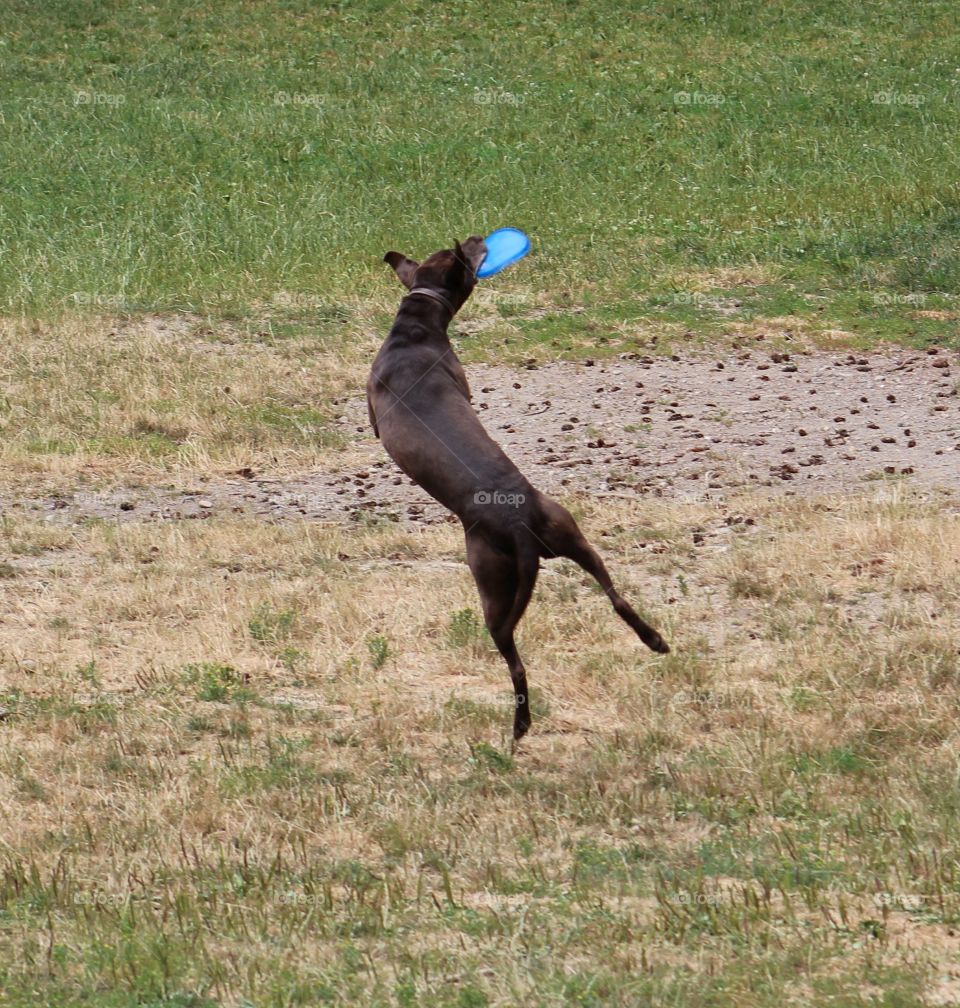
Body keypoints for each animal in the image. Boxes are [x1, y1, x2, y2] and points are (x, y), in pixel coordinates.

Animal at [367, 235, 665, 741]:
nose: (477, 236)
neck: (416, 325)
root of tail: (519, 523)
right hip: (571, 533)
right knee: (616, 596)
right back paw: (655, 640)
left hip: (490, 582)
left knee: (515, 663)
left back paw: (520, 725)